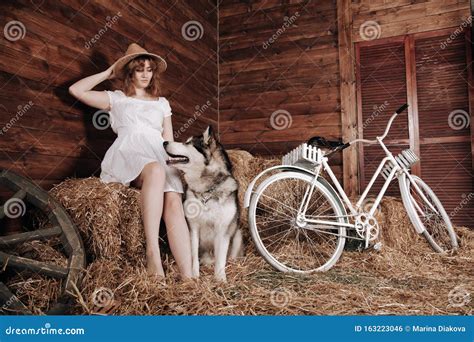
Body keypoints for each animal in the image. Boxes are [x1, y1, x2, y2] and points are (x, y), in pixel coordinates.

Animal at [164, 125, 244, 280]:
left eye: (188, 143)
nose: (164, 142)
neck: (207, 191)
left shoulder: (223, 230)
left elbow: (221, 258)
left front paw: (220, 278)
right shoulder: (193, 228)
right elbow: (193, 255)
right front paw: (195, 275)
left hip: (237, 234)